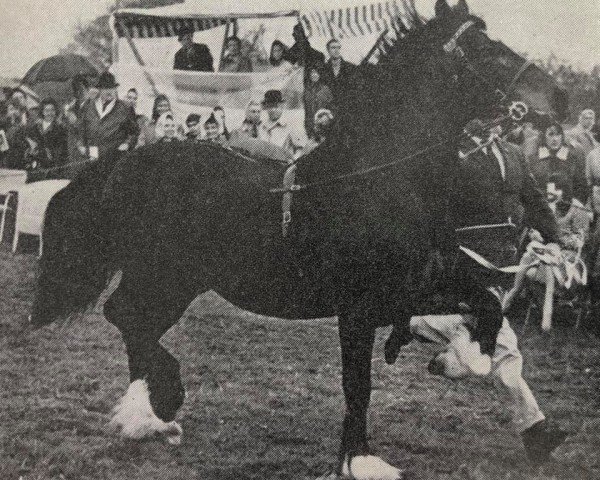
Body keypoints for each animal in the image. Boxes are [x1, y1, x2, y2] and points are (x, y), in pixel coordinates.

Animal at [32, 1, 568, 478]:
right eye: (484, 49)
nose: (560, 98)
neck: (381, 180)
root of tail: (126, 161)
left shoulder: (413, 289)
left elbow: (487, 307)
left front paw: (457, 360)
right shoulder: (359, 308)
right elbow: (359, 385)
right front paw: (361, 461)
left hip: (175, 282)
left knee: (132, 319)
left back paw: (147, 417)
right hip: (164, 276)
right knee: (124, 315)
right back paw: (159, 405)